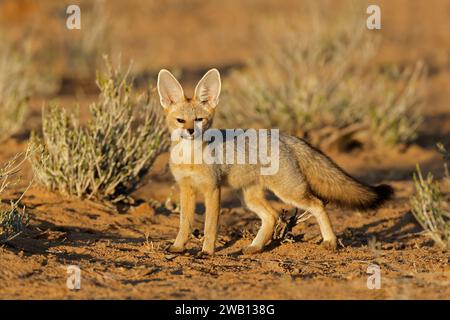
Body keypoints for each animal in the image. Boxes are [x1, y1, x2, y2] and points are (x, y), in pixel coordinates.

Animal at [157, 69, 394, 256]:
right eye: (180, 120)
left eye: (199, 120)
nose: (190, 131)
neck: (189, 158)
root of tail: (285, 136)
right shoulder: (186, 189)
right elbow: (184, 224)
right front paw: (177, 247)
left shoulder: (212, 189)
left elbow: (209, 226)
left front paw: (207, 251)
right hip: (248, 198)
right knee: (271, 216)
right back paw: (255, 247)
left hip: (288, 193)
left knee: (317, 204)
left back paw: (330, 241)